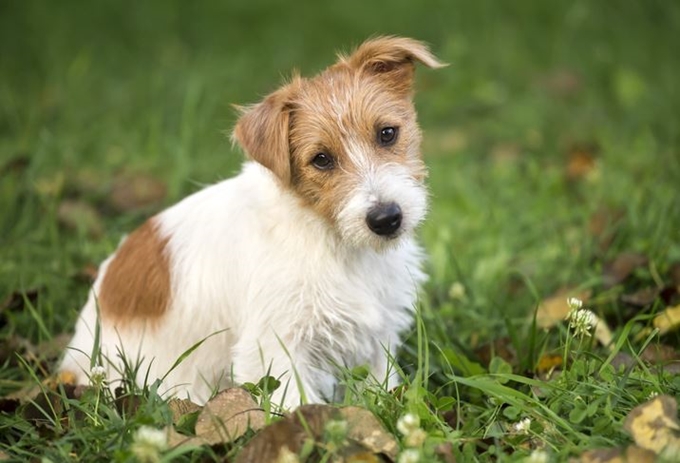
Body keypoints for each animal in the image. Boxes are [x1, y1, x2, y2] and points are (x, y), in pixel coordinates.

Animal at [61, 36, 446, 408]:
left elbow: (381, 386)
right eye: (321, 159)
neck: (332, 240)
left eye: (387, 133)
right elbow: (294, 406)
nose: (387, 219)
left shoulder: (378, 334)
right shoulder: (275, 345)